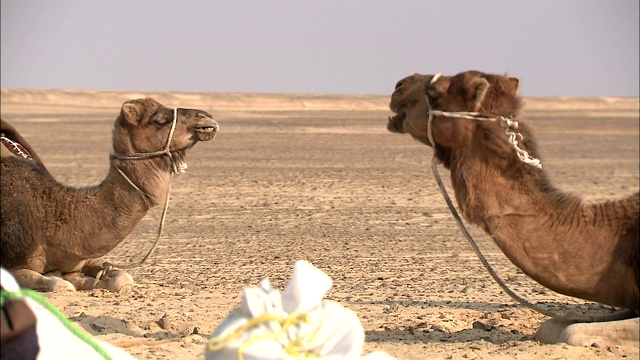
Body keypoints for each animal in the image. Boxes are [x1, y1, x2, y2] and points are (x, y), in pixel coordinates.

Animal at [1, 97, 220, 294]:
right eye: (160, 119)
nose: (207, 117)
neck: (53, 216)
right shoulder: (12, 265)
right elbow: (60, 285)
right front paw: (60, 278)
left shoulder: (84, 258)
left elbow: (122, 279)